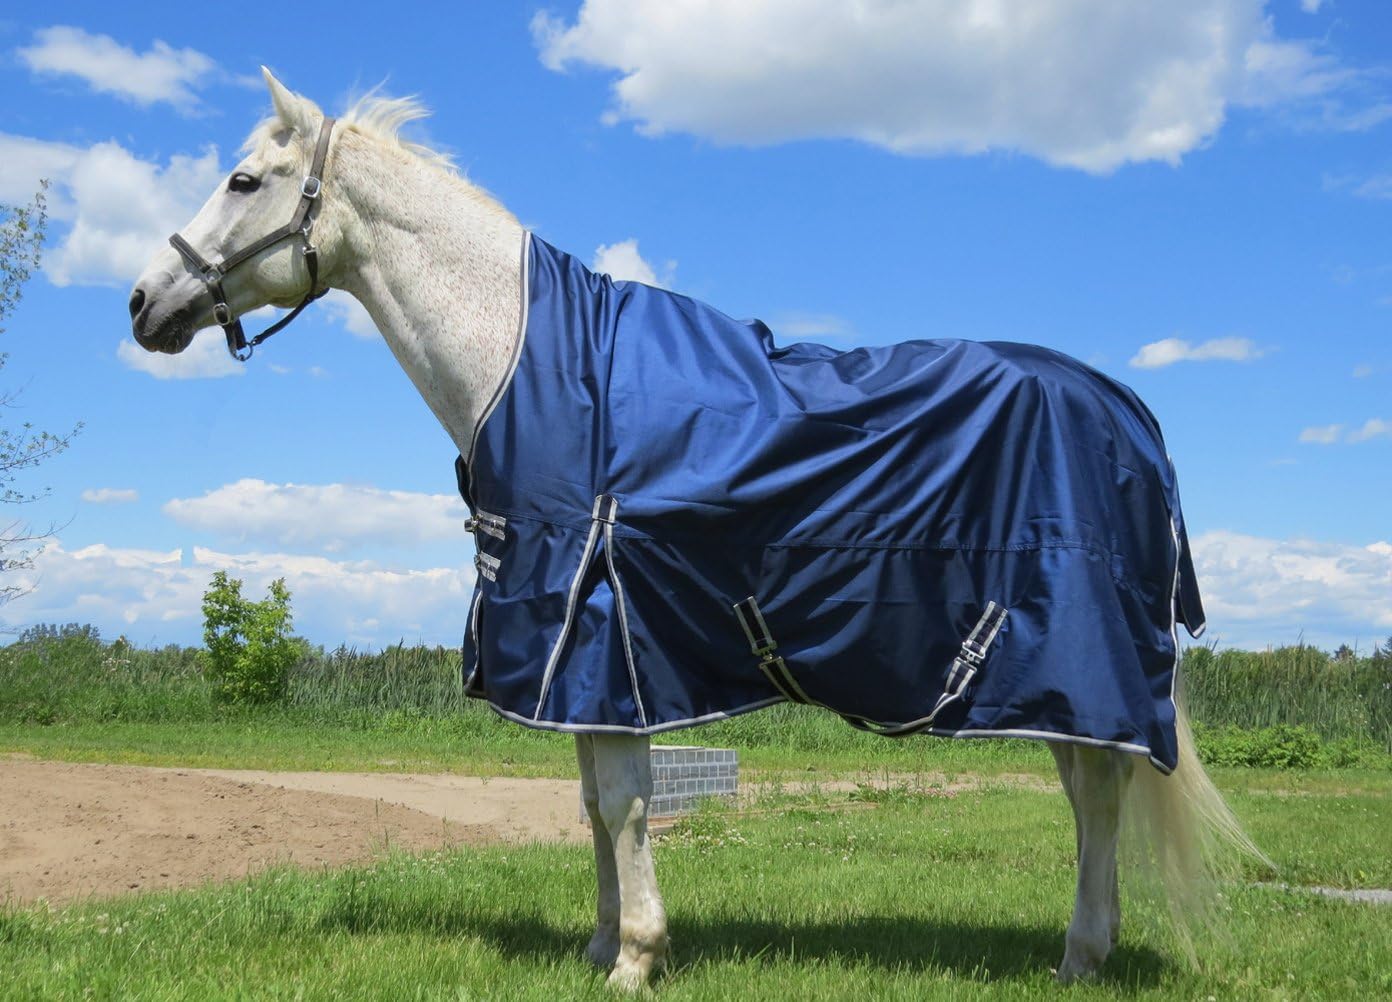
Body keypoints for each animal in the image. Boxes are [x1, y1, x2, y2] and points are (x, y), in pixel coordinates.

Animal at [129, 70, 1263, 989]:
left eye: (242, 181)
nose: (143, 301)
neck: (530, 367)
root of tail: (1129, 412)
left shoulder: (600, 635)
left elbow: (628, 804)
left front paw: (637, 956)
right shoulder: (585, 663)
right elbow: (592, 802)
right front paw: (598, 946)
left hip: (1075, 665)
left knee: (1097, 796)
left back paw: (1080, 954)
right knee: (1091, 794)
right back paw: (1086, 952)